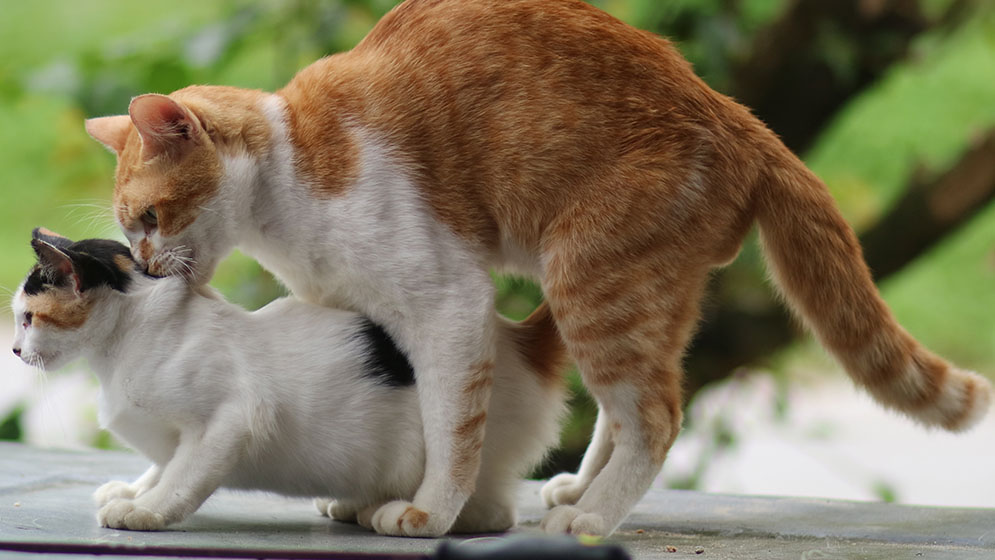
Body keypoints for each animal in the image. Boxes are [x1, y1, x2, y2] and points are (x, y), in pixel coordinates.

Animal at [11, 229, 568, 532]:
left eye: (28, 318)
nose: (14, 351)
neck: (117, 353)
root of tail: (514, 339)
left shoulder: (233, 419)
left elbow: (184, 477)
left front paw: (146, 511)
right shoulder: (176, 437)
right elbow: (165, 465)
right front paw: (133, 490)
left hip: (451, 444)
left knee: (494, 511)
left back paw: (393, 511)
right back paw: (352, 502)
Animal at [83, 0, 988, 540]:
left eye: (148, 219)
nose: (148, 266)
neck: (285, 194)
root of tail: (739, 117)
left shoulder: (448, 305)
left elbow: (453, 426)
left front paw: (429, 511)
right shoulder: (372, 315)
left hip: (588, 281)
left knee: (655, 416)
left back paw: (590, 521)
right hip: (636, 298)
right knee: (626, 408)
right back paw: (579, 496)